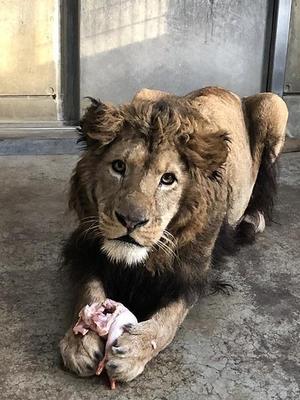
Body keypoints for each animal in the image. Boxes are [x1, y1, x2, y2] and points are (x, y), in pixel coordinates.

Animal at [59, 86, 288, 382]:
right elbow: (89, 293)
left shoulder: (190, 275)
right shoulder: (85, 250)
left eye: (167, 179)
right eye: (119, 167)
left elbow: (168, 321)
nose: (131, 221)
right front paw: (80, 343)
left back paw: (251, 221)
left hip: (274, 104)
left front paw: (134, 351)